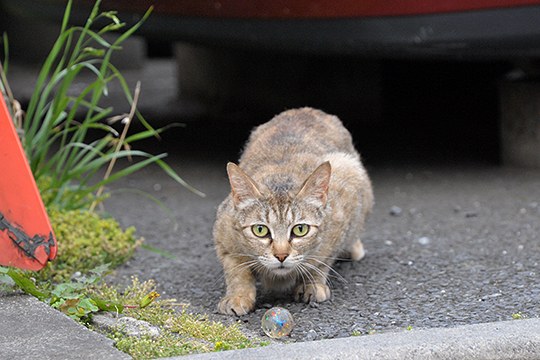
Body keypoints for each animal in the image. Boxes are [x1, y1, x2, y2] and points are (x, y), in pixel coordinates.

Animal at [213, 107, 374, 316]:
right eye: (260, 230)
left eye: (300, 229)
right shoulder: (223, 233)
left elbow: (321, 260)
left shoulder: (342, 210)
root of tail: (307, 109)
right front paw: (238, 295)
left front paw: (312, 283)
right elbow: (236, 269)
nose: (281, 256)